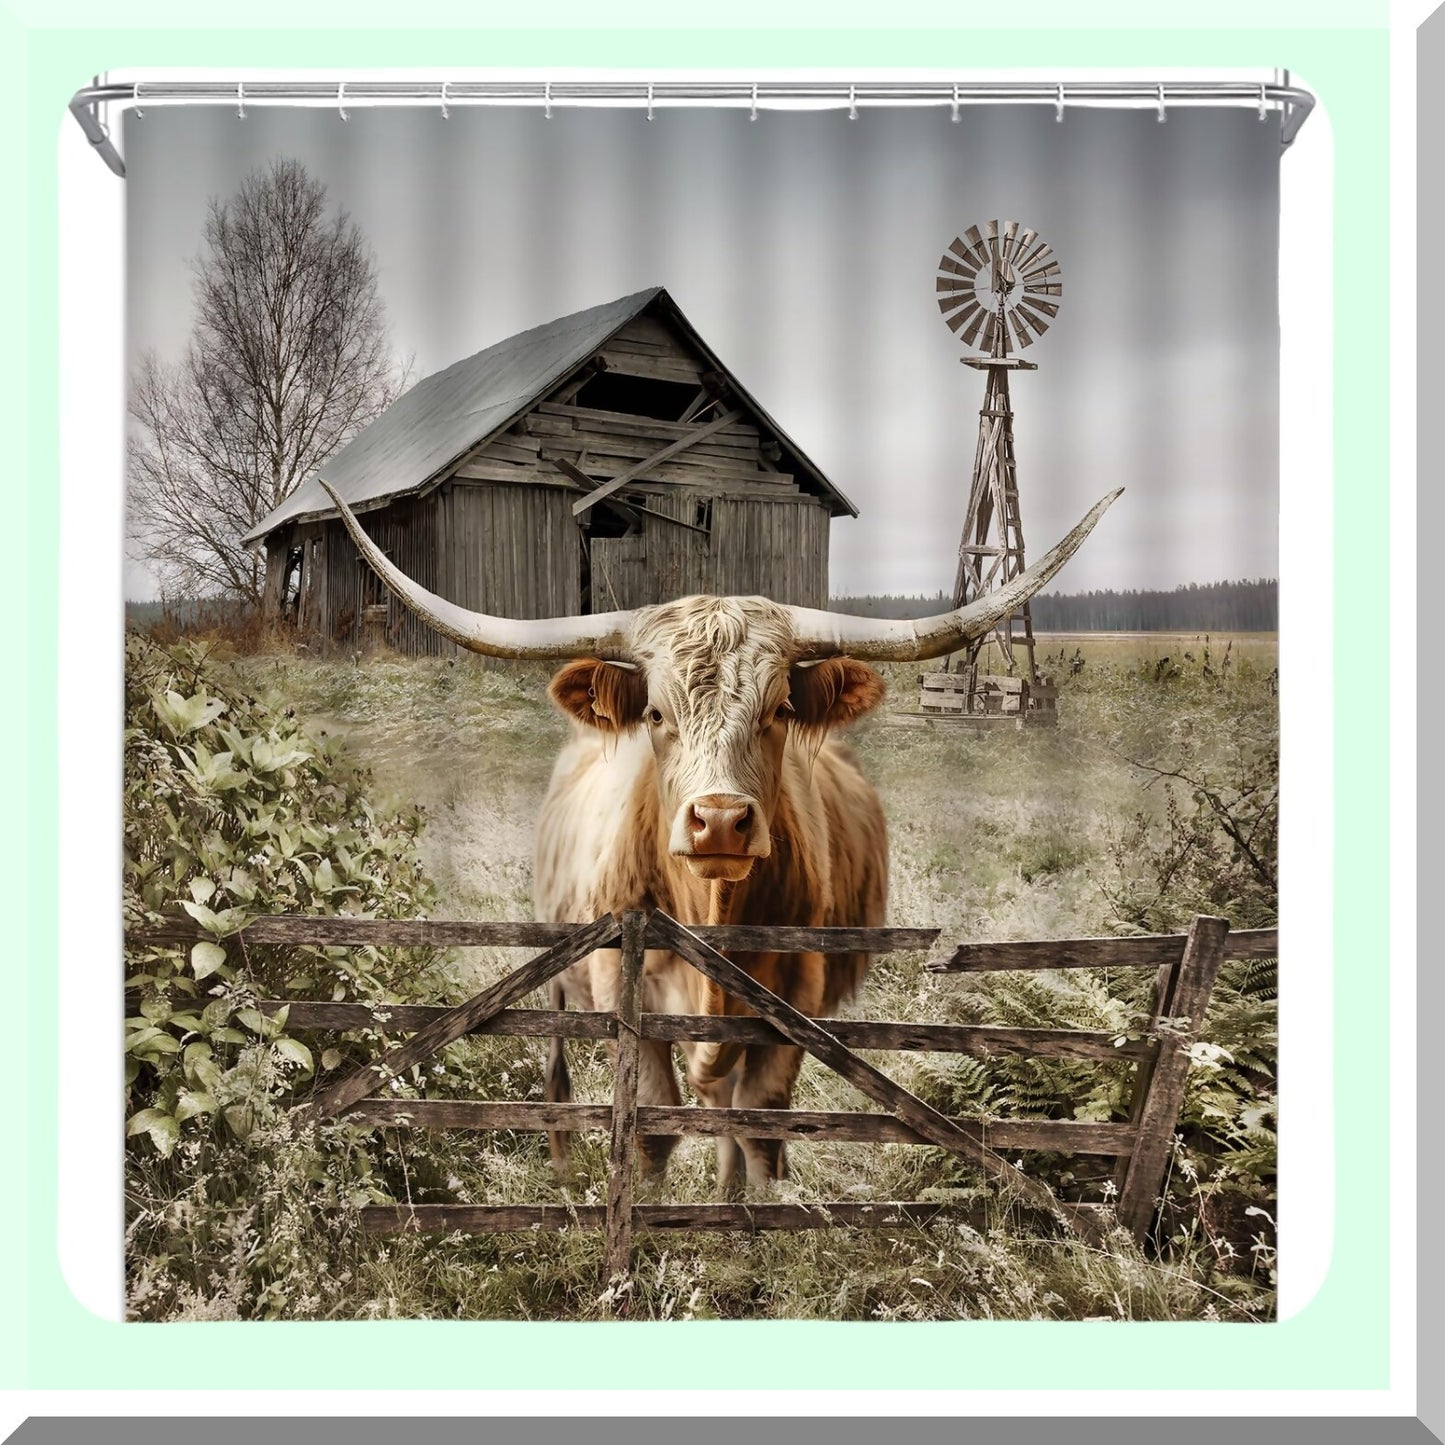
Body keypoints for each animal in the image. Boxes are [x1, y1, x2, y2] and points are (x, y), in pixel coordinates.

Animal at [319, 479, 1120, 1193]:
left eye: (778, 710)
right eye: (655, 714)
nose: (721, 820)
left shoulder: (791, 1005)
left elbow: (760, 1126)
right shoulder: (623, 988)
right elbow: (652, 1126)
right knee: (559, 1069)